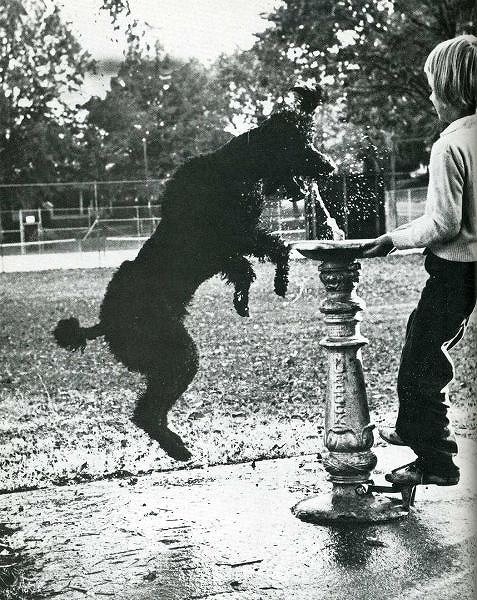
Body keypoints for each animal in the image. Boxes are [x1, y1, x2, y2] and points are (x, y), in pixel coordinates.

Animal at [54, 86, 335, 461]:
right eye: (299, 144)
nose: (330, 167)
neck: (236, 168)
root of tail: (104, 323)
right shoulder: (232, 236)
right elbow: (266, 253)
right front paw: (267, 287)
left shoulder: (233, 245)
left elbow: (260, 258)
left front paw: (259, 292)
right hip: (176, 354)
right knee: (147, 412)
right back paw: (177, 448)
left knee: (149, 411)